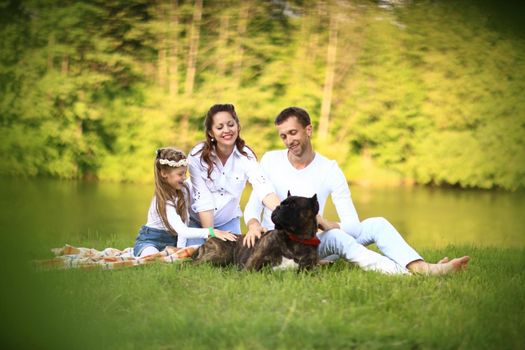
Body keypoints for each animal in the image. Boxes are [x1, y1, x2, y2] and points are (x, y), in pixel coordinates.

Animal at [191, 194, 320, 270]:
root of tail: (209, 238)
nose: (278, 207)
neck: (294, 239)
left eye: (293, 205)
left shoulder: (308, 271)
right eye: (281, 204)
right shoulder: (251, 266)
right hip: (220, 255)